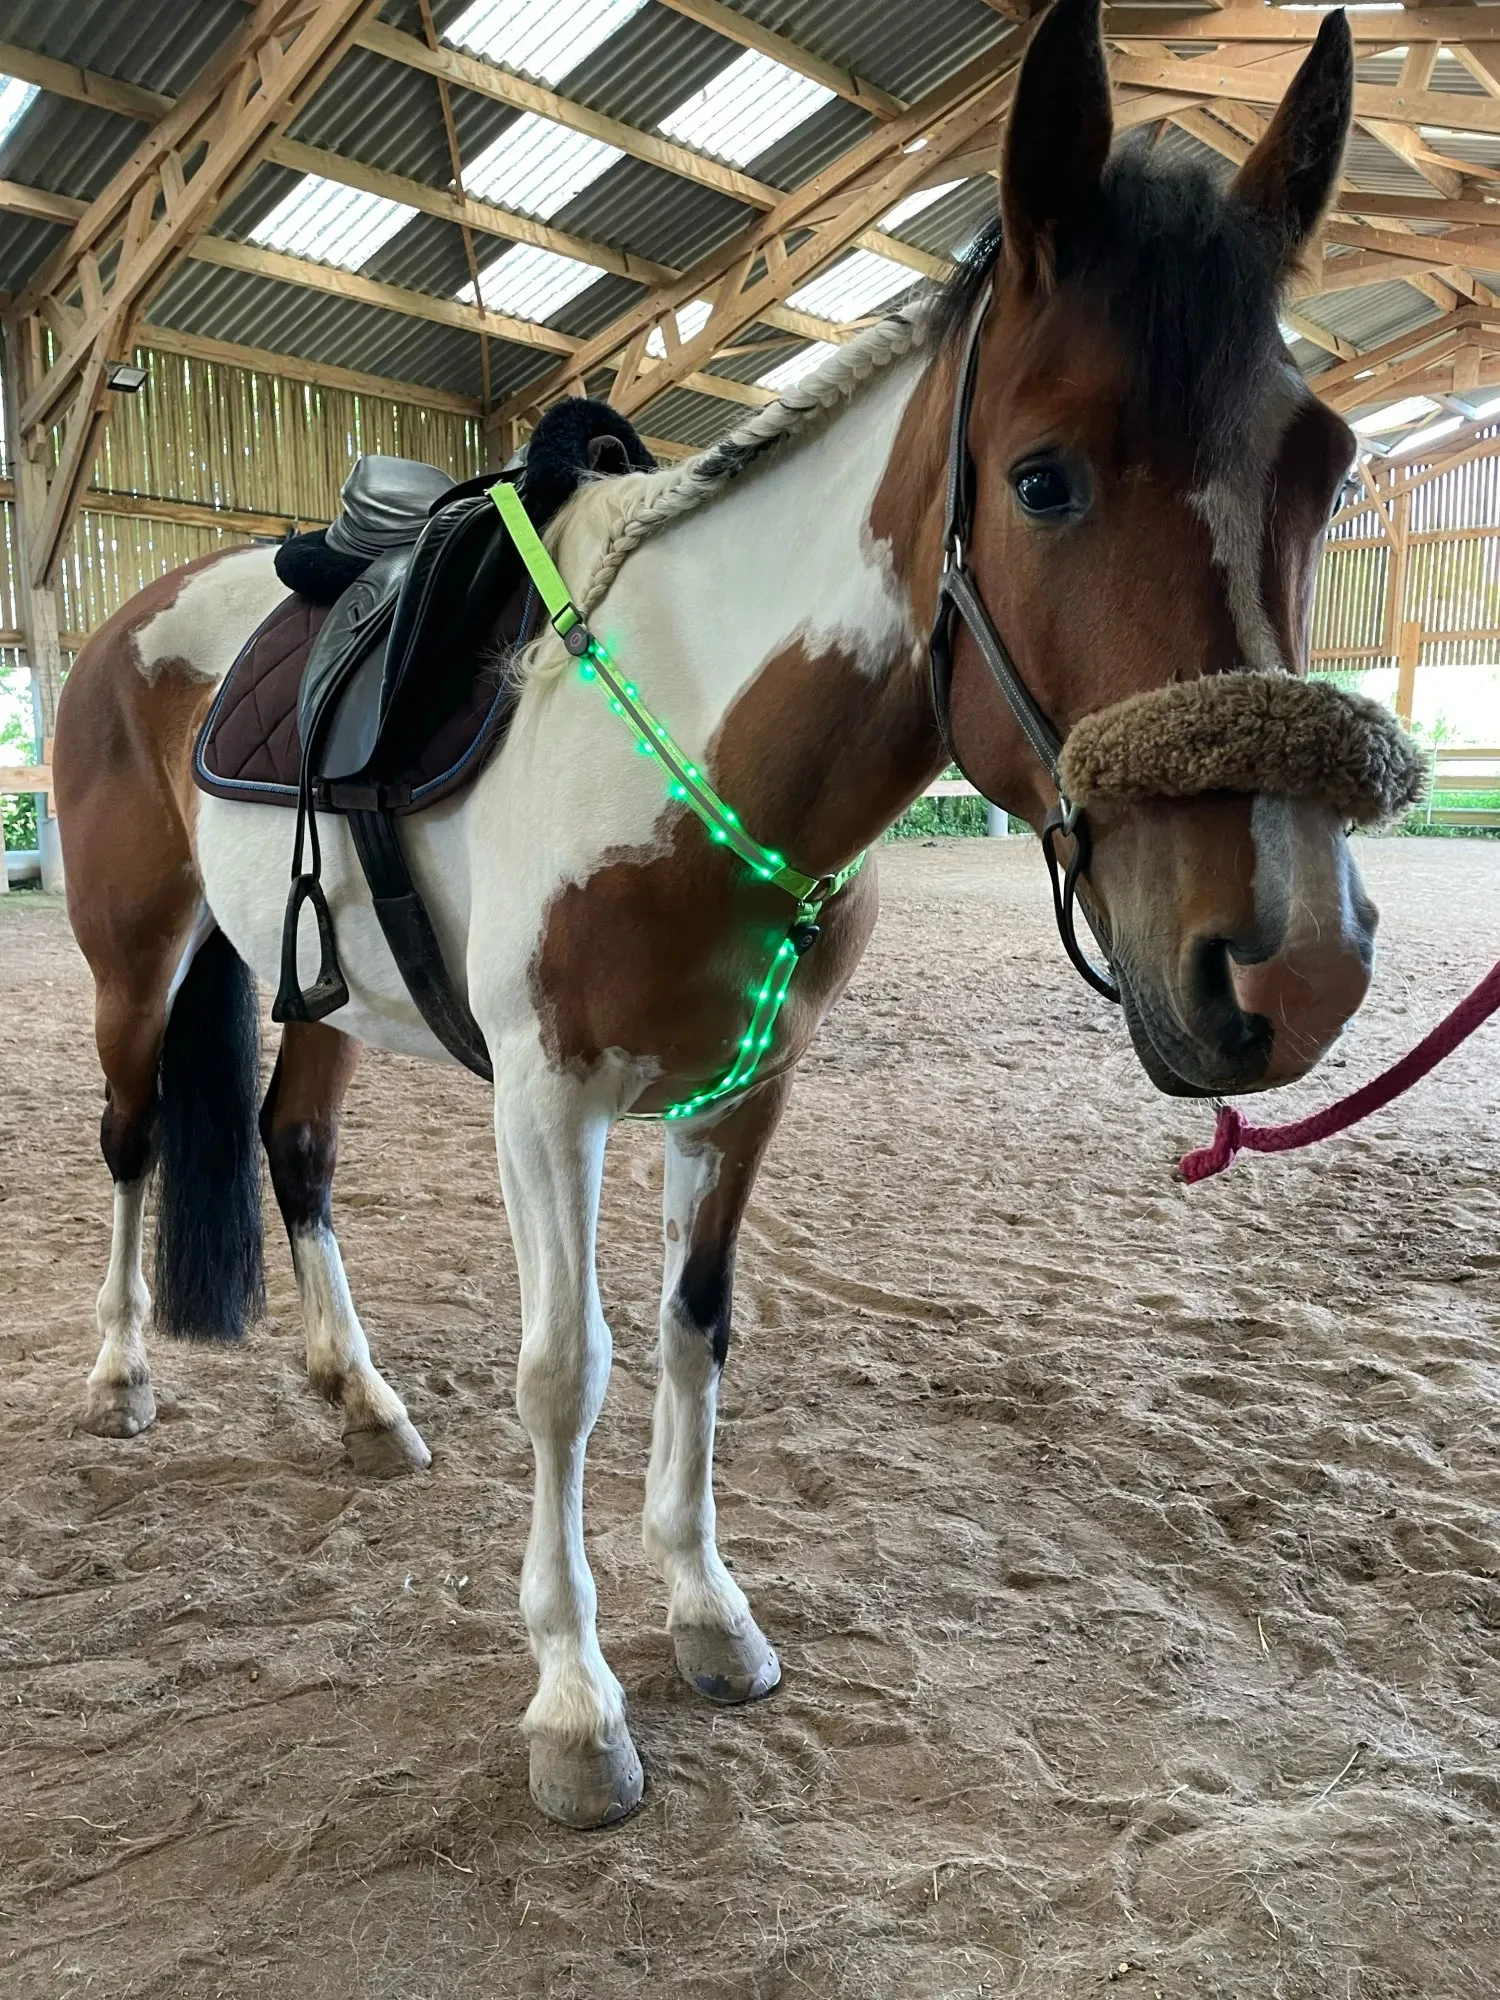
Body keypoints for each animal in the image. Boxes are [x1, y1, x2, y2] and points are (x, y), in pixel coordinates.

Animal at [55, 0, 1376, 1832]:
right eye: (1042, 479)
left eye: (1326, 467)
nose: (1292, 959)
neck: (686, 731)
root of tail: (133, 620)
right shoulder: (548, 1101)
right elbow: (570, 1370)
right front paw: (573, 1701)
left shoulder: (746, 1089)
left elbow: (695, 1334)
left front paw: (704, 1613)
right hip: (140, 954)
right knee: (128, 1142)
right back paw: (118, 1377)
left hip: (318, 992)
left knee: (292, 1153)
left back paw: (359, 1401)